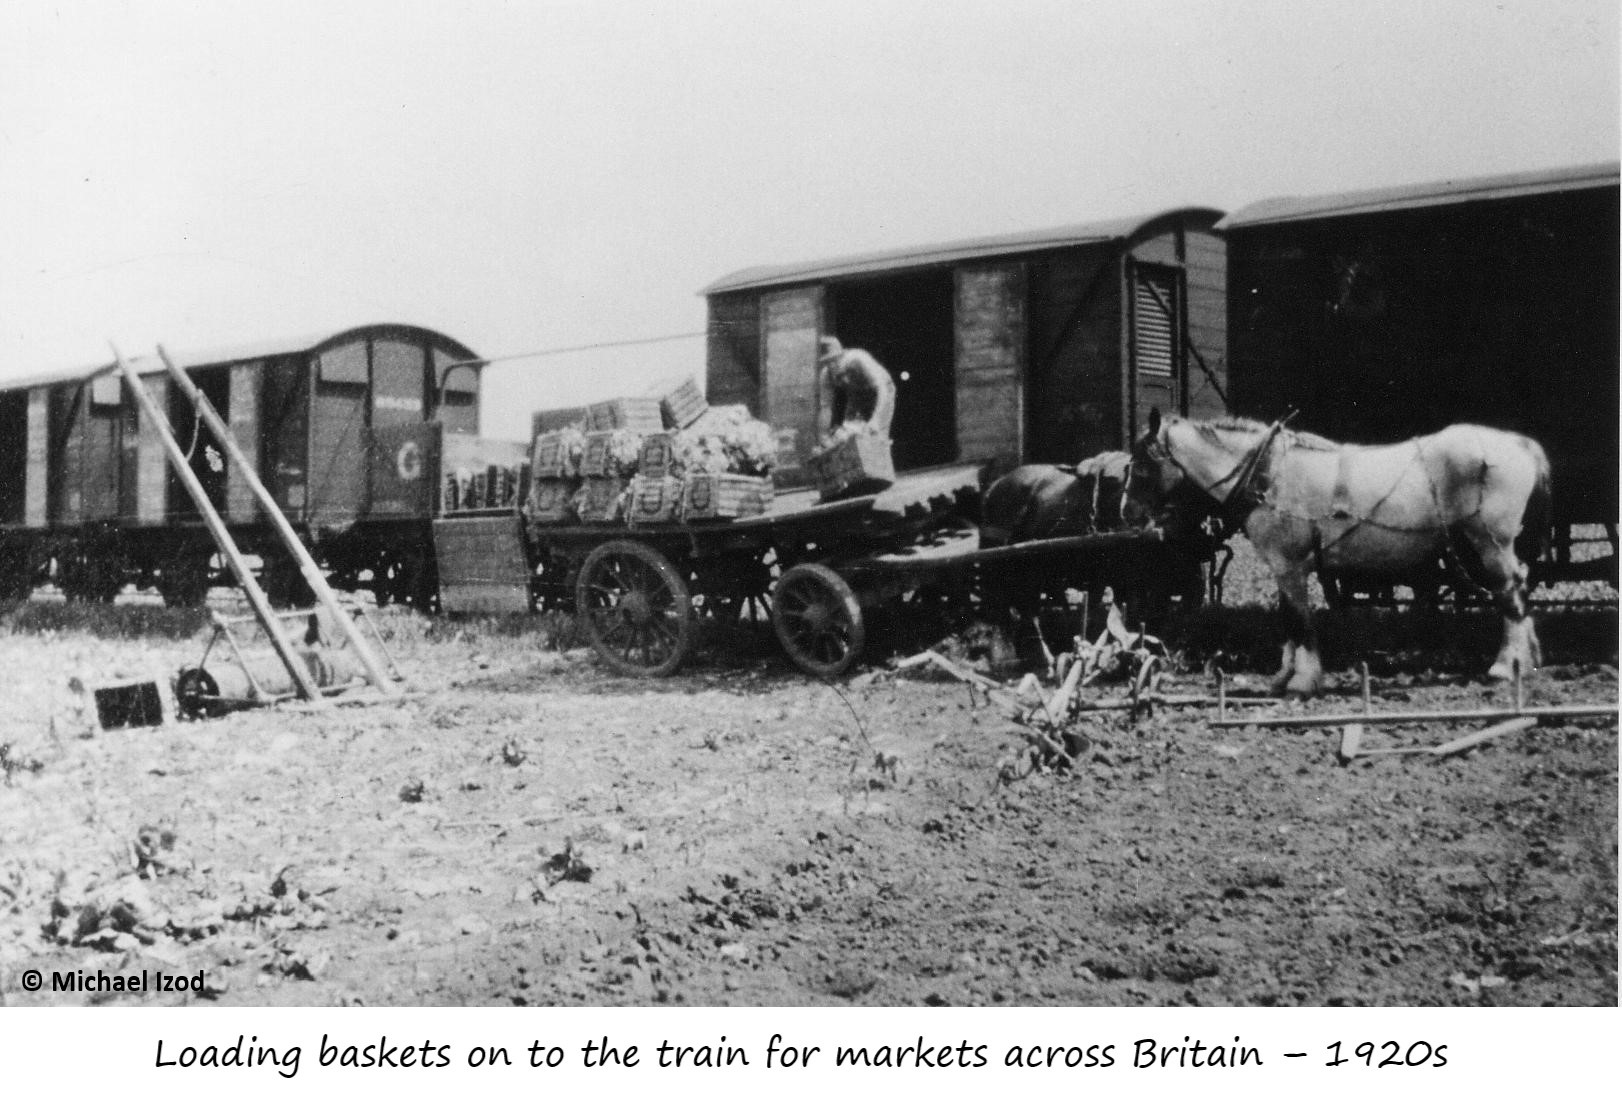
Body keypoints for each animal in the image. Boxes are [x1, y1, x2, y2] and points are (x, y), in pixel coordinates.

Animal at [1122, 408, 1550, 694]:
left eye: (1142, 464)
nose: (1126, 512)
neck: (1268, 475)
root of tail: (1521, 445)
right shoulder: (1284, 567)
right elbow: (1288, 620)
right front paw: (1283, 676)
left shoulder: (1291, 564)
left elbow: (1300, 621)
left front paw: (1303, 680)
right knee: (1519, 587)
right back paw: (1528, 659)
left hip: (1490, 542)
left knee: (1509, 594)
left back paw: (1505, 666)